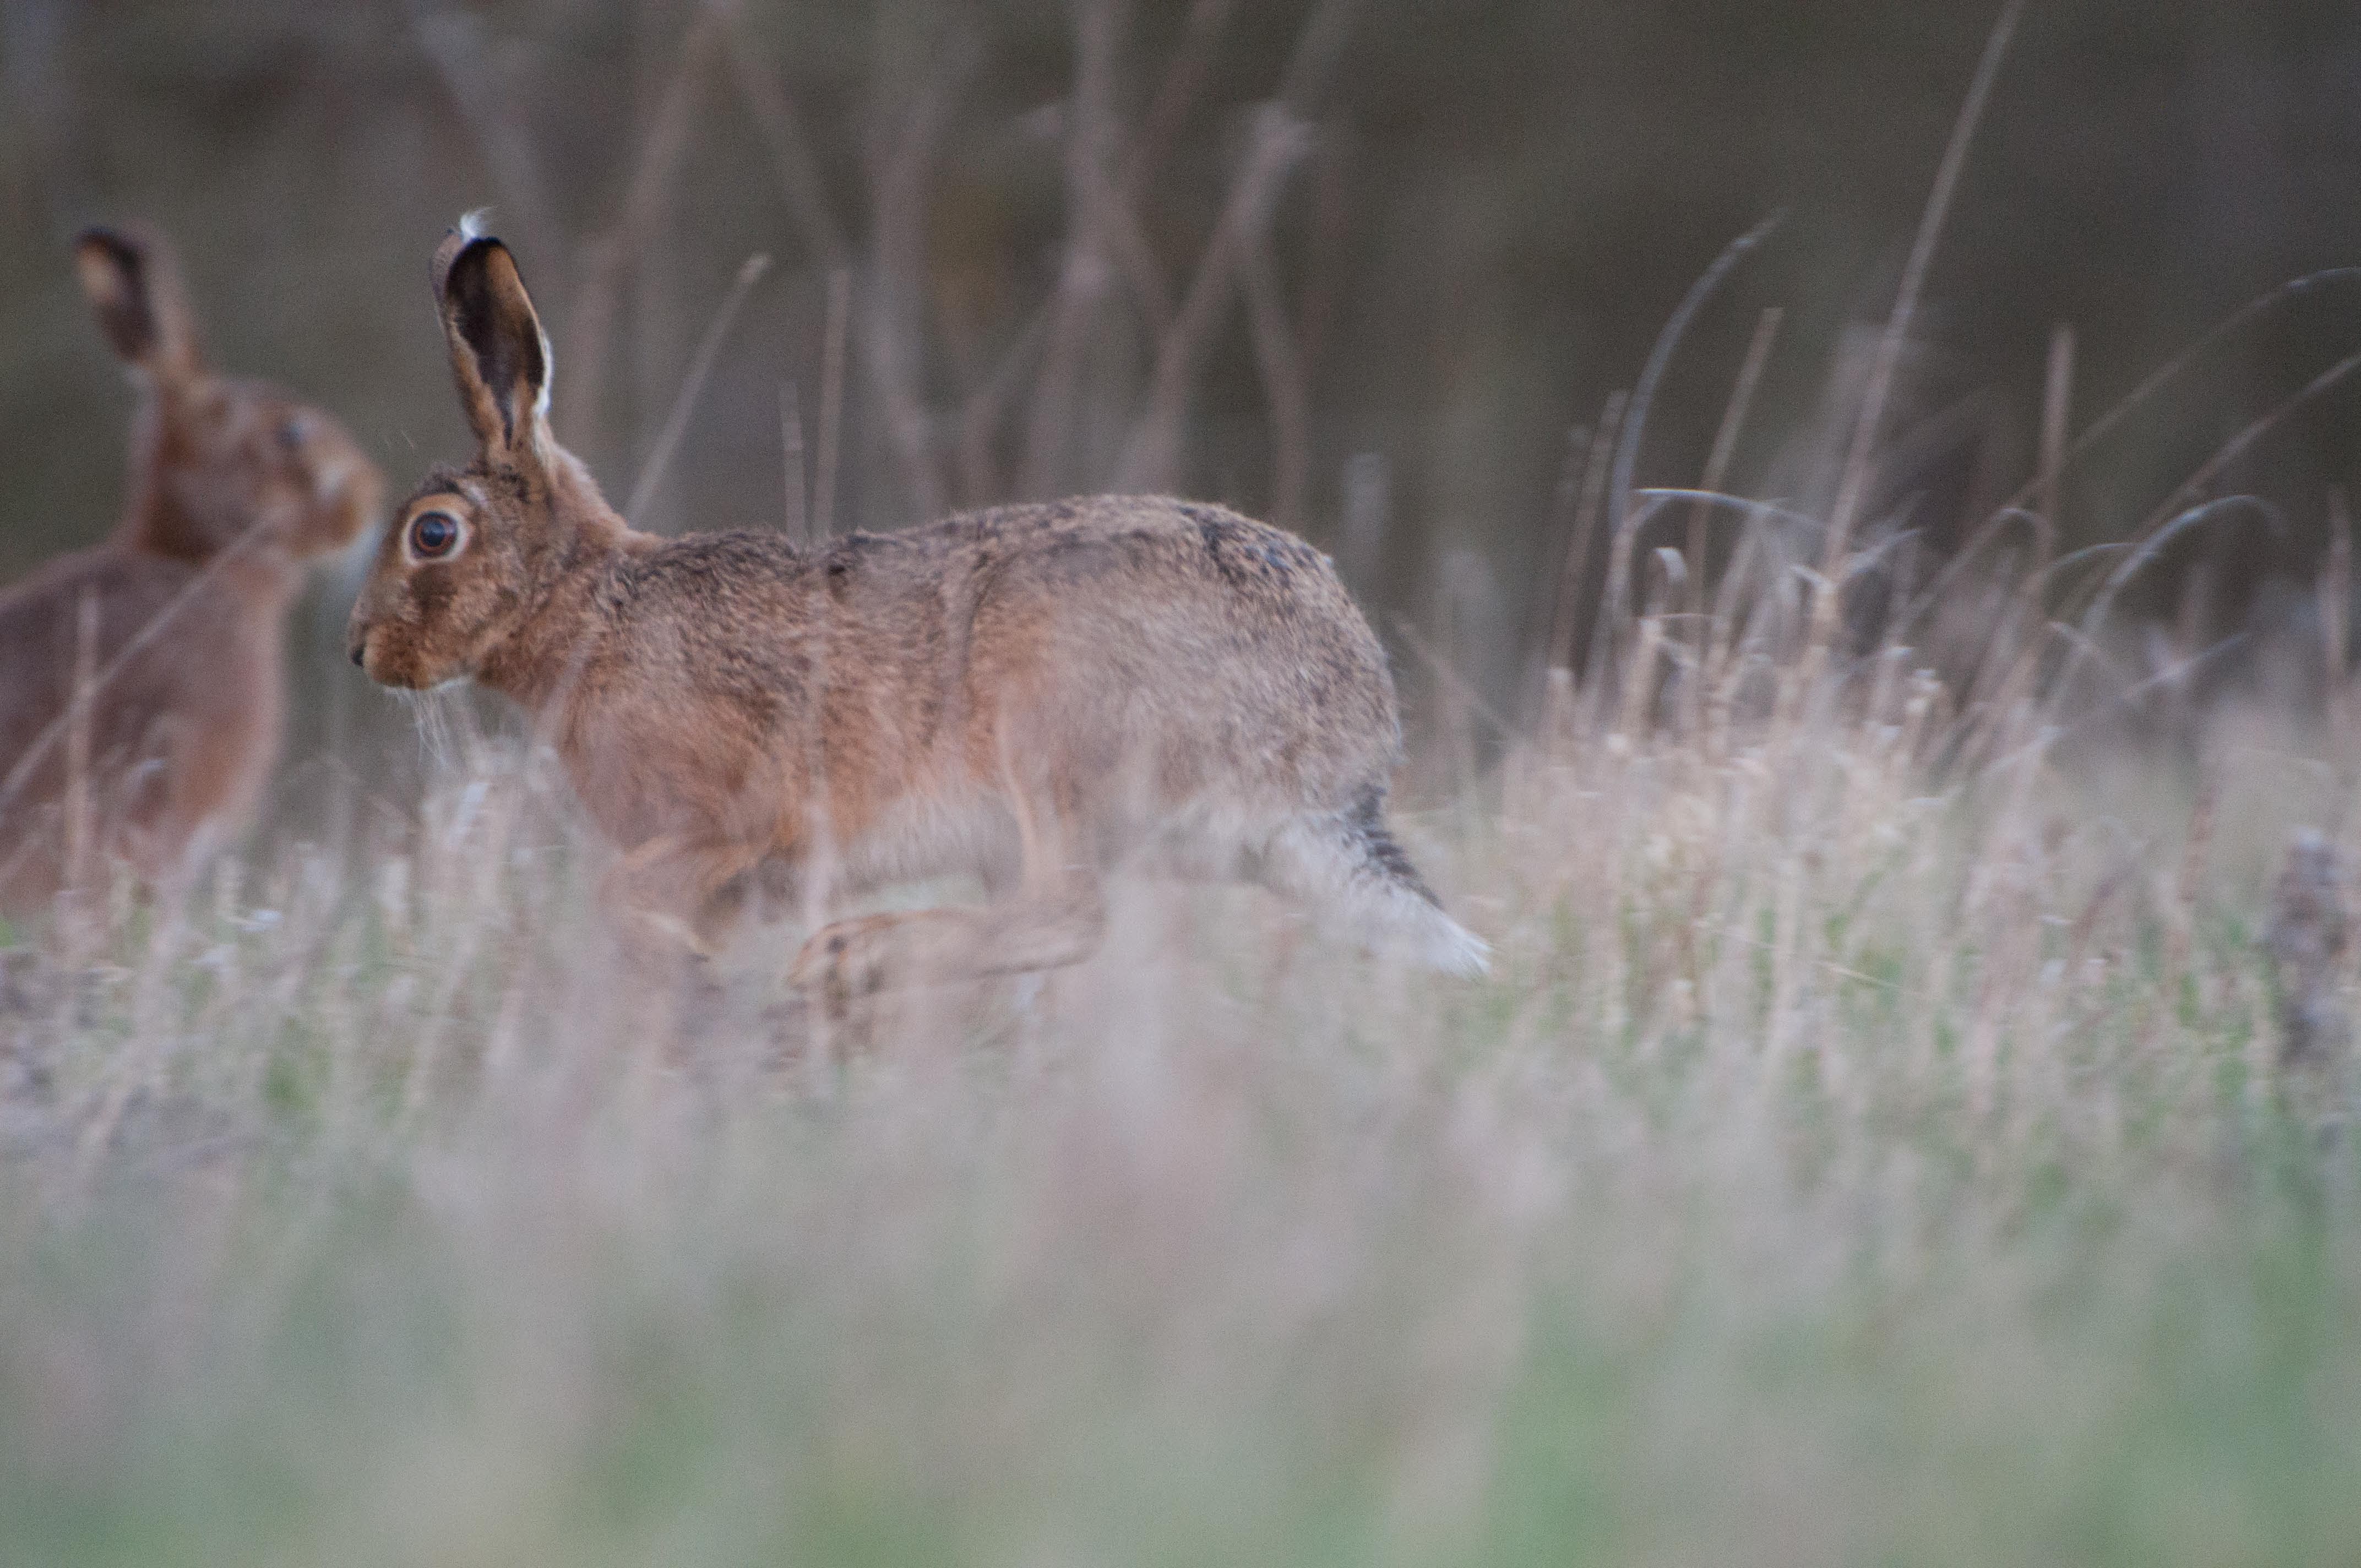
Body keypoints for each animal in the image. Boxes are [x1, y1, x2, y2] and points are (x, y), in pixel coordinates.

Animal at [346, 222, 1487, 994]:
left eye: (433, 534)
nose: (360, 650)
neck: (589, 606)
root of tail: (1335, 767)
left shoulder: (730, 816)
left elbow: (628, 893)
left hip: (1046, 722)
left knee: (1067, 910)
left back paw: (854, 959)